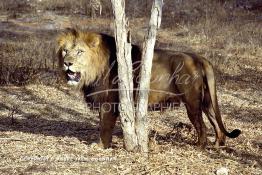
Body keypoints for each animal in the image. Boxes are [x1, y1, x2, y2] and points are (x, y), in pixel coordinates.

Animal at [56, 28, 241, 149]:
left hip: (192, 101)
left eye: (80, 52)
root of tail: (199, 58)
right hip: (207, 101)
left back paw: (200, 147)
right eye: (65, 51)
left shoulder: (110, 103)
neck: (94, 70)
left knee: (202, 126)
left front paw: (101, 146)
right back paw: (217, 145)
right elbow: (102, 124)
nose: (67, 63)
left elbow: (105, 126)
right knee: (216, 123)